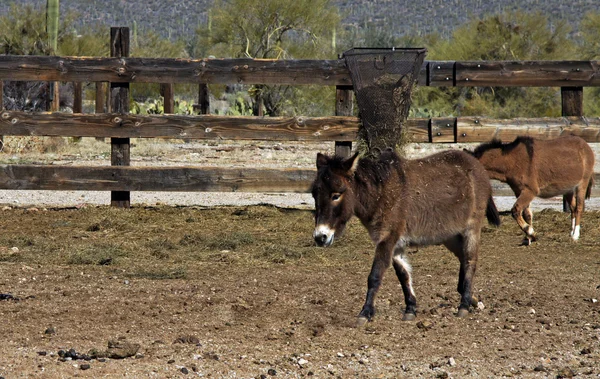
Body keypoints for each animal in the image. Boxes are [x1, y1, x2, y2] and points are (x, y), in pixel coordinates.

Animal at [312, 150, 500, 326]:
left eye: (336, 195)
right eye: (314, 195)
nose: (320, 237)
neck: (381, 194)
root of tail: (475, 164)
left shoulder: (387, 239)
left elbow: (375, 276)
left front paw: (365, 313)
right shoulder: (396, 243)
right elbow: (403, 275)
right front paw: (410, 309)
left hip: (471, 228)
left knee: (470, 260)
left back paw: (464, 305)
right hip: (450, 235)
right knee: (462, 257)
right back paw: (470, 298)